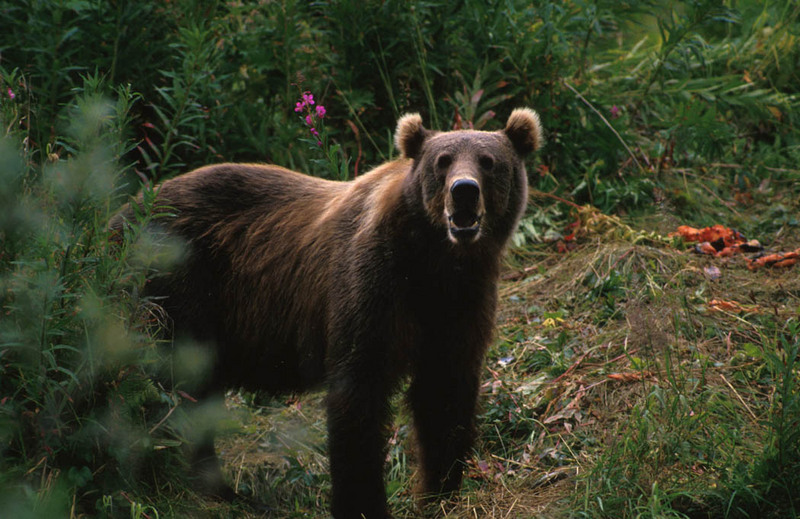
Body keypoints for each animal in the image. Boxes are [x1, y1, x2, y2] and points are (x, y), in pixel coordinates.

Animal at [112, 107, 544, 516]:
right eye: (443, 160)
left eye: (488, 161)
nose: (464, 191)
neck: (433, 259)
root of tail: (123, 212)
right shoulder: (372, 285)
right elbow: (358, 393)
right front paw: (364, 503)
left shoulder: (460, 302)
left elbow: (444, 391)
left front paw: (440, 493)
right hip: (176, 285)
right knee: (174, 385)